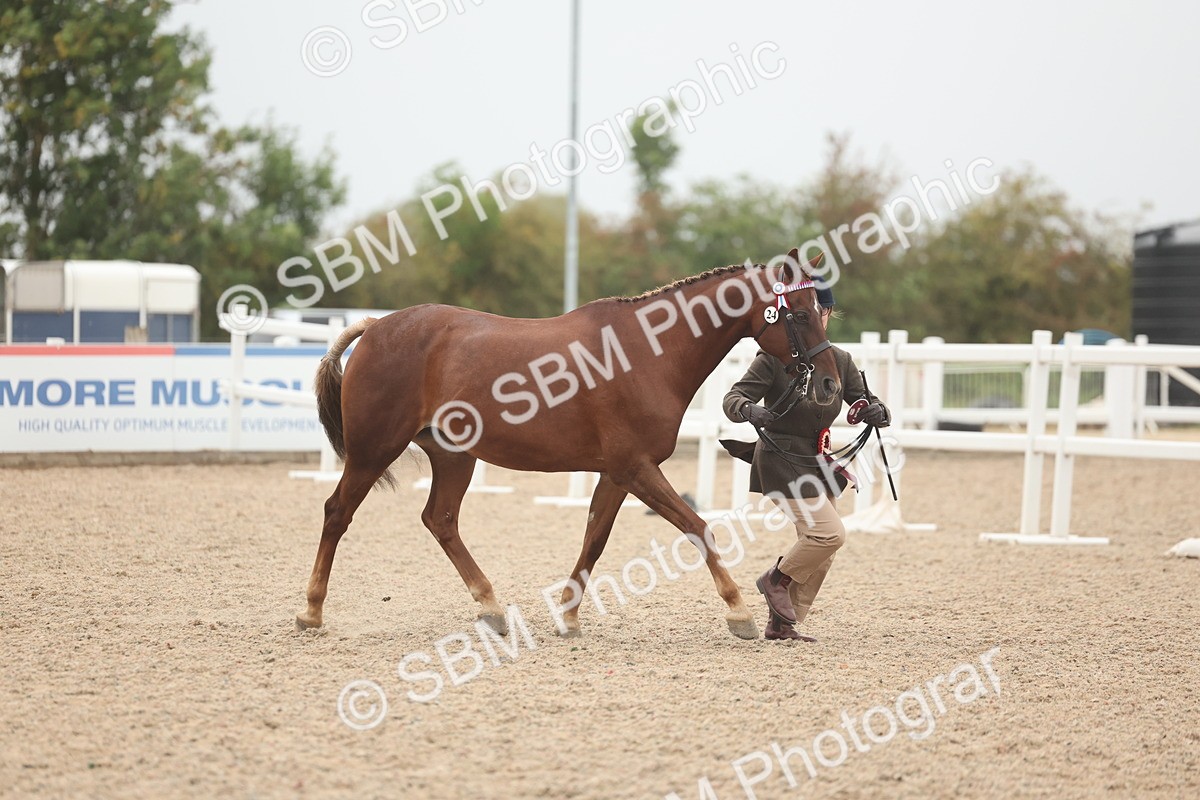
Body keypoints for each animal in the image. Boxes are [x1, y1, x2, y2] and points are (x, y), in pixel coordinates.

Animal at [295, 248, 841, 640]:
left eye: (820, 311)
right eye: (796, 313)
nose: (831, 386)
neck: (647, 353)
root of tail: (376, 327)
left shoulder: (617, 473)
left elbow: (594, 539)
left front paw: (568, 617)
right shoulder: (637, 468)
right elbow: (699, 528)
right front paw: (740, 612)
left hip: (454, 457)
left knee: (440, 520)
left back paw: (492, 608)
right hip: (373, 451)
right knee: (336, 512)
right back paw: (312, 611)